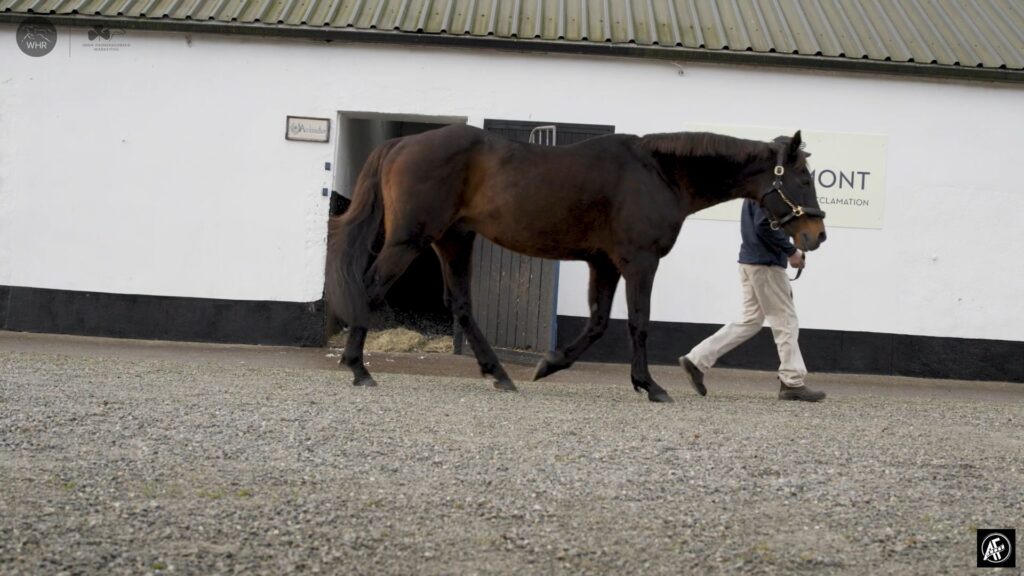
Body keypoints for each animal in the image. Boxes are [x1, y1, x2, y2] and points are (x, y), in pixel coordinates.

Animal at [327, 124, 823, 403]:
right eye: (802, 178)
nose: (816, 236)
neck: (658, 174)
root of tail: (400, 144)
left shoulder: (603, 263)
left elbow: (599, 323)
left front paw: (550, 364)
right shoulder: (639, 261)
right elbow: (638, 323)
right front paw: (651, 386)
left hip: (453, 240)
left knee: (461, 306)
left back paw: (500, 375)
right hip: (411, 239)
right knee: (371, 289)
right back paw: (358, 368)